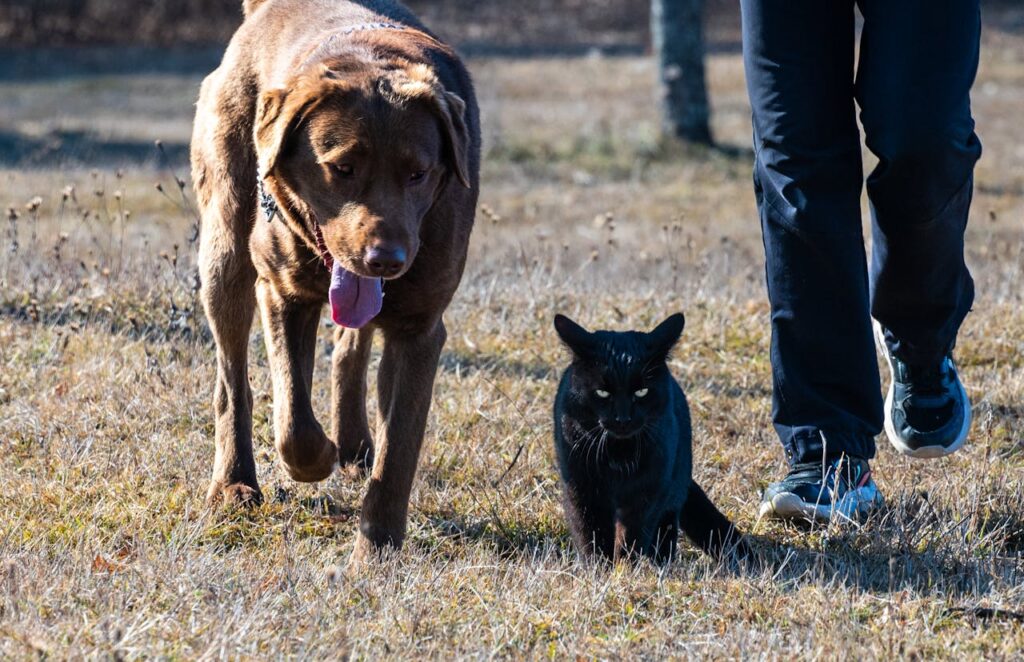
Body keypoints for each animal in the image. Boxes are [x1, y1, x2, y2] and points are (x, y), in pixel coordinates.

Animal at [190, 0, 477, 565]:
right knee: (234, 379)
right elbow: (293, 419)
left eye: (419, 173)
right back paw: (235, 483)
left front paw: (377, 547)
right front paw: (316, 458)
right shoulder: (281, 291)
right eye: (342, 167)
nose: (386, 260)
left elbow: (400, 447)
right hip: (226, 245)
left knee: (349, 348)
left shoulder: (420, 327)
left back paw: (352, 443)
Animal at [552, 313, 745, 561]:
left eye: (641, 391)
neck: (618, 452)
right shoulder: (581, 489)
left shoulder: (648, 491)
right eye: (602, 392)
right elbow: (590, 533)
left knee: (665, 529)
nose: (623, 418)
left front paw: (625, 565)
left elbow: (632, 534)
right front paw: (598, 565)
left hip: (673, 490)